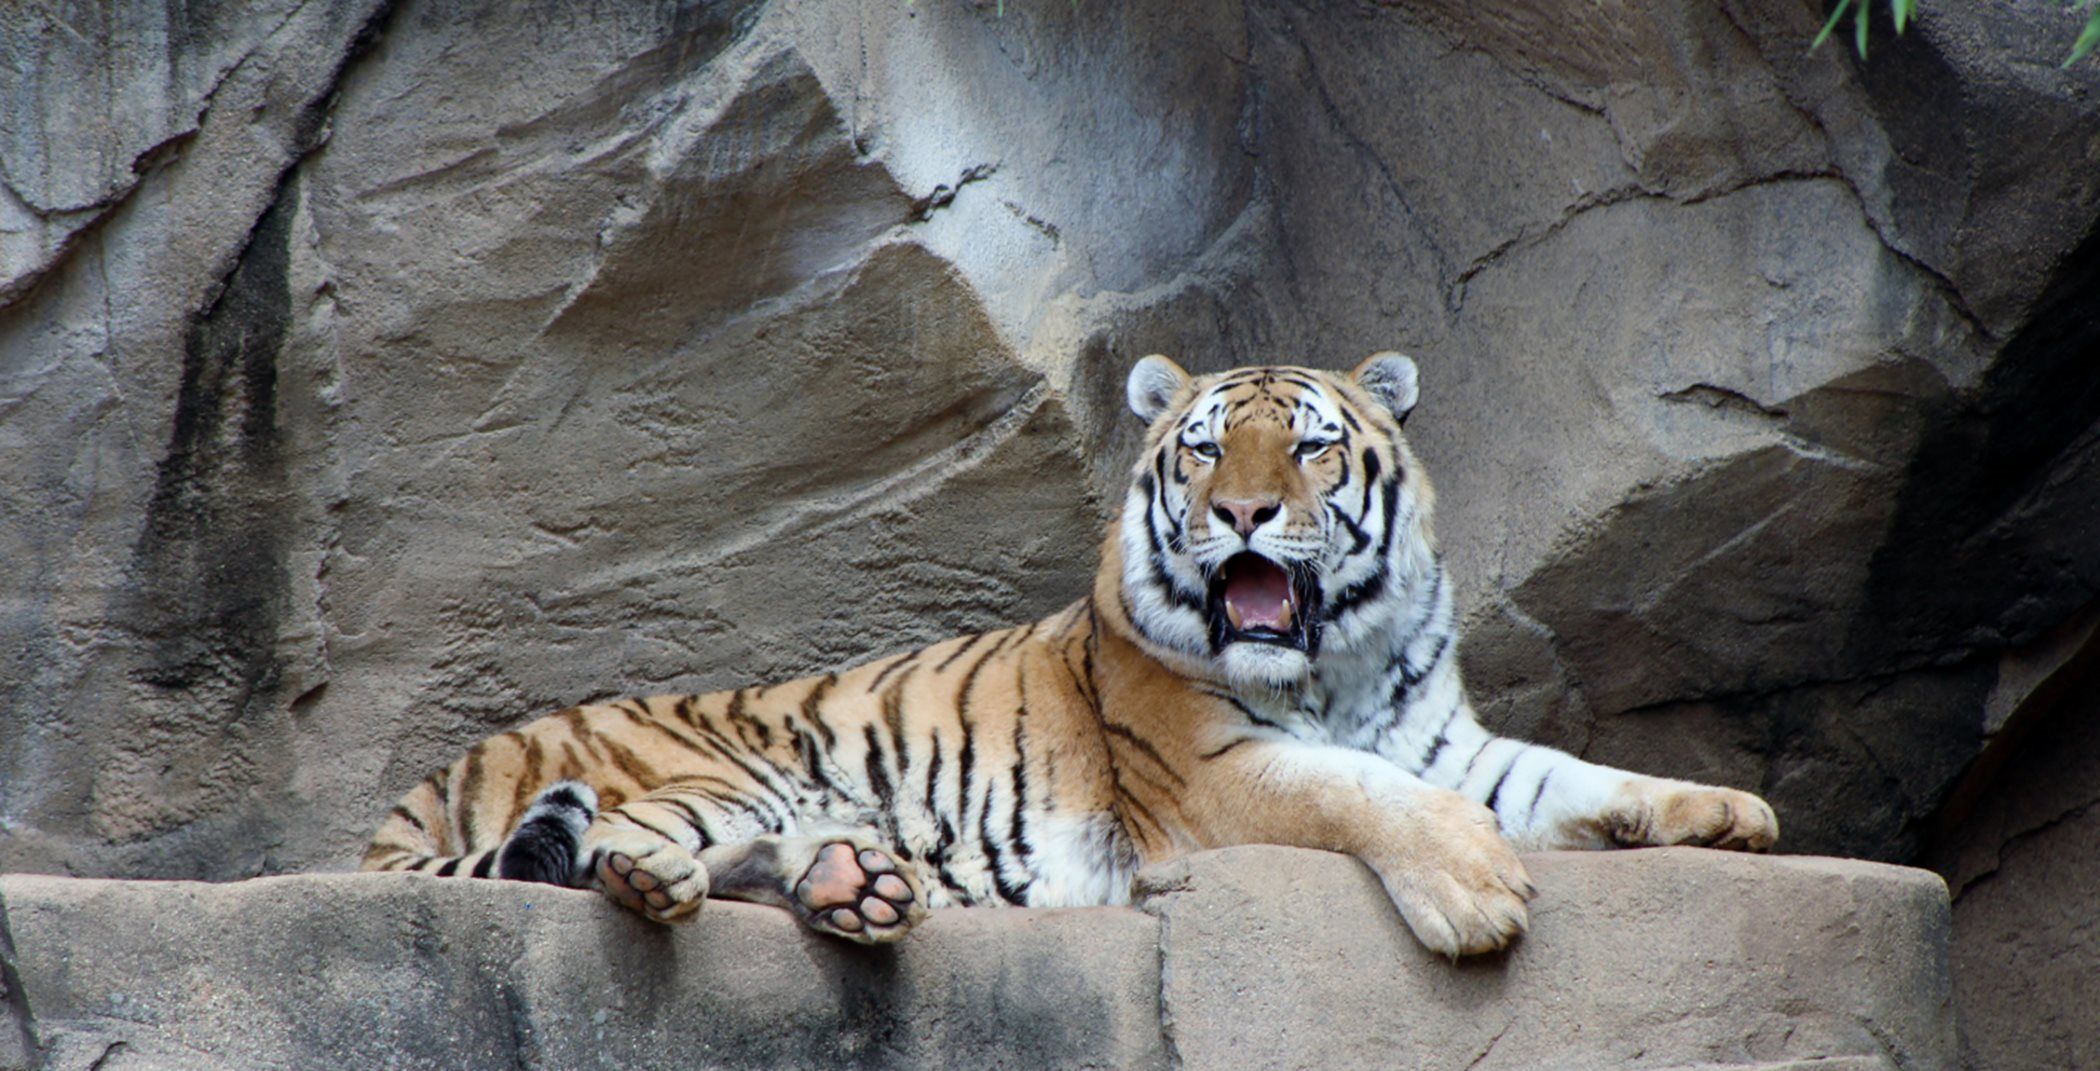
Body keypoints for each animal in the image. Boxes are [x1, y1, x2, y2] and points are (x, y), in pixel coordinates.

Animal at [363, 352, 1778, 958]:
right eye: (1204, 449)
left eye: (1309, 447)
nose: (1243, 513)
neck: (1333, 664)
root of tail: (429, 784)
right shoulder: (1213, 776)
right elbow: (1355, 794)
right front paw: (1473, 895)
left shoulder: (1448, 741)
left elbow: (1571, 778)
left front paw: (1731, 813)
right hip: (712, 768)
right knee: (614, 843)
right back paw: (676, 883)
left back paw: (856, 889)